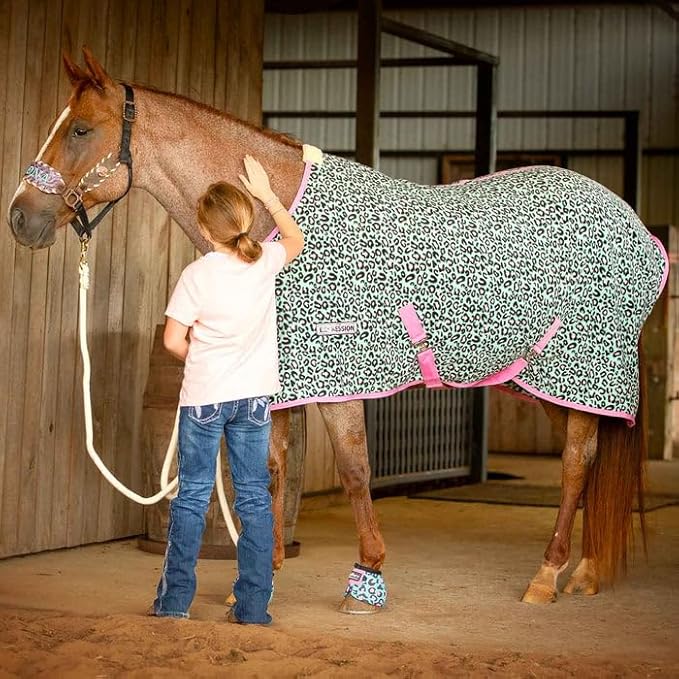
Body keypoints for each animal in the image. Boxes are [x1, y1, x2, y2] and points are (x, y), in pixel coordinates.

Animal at [8, 49, 668, 613]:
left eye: (80, 131)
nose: (20, 218)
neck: (273, 221)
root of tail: (638, 228)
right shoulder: (280, 383)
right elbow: (270, 471)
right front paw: (262, 575)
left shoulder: (338, 379)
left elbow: (354, 471)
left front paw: (368, 576)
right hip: (548, 379)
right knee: (591, 462)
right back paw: (584, 571)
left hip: (579, 372)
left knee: (577, 463)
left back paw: (546, 576)